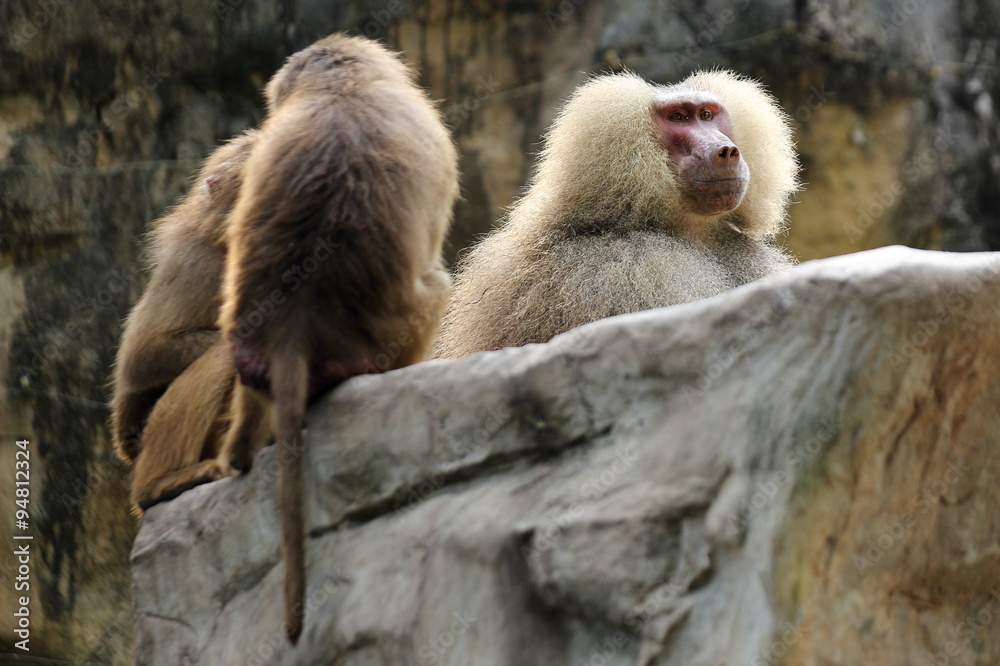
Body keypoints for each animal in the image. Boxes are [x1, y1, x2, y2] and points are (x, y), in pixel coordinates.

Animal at [216, 34, 458, 642]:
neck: (344, 85)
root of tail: (294, 328)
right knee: (437, 287)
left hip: (249, 344)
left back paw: (239, 456)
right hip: (386, 337)